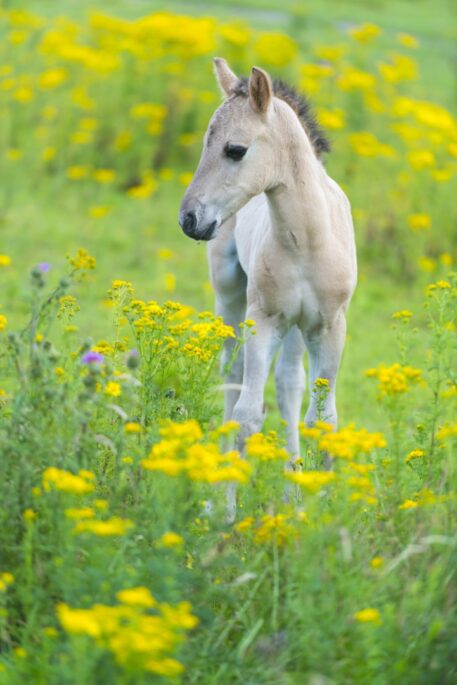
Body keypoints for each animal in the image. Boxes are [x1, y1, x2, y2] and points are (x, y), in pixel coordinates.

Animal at [178, 60, 356, 520]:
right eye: (205, 144)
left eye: (235, 150)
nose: (189, 219)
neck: (308, 241)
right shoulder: (263, 319)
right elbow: (246, 414)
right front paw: (227, 517)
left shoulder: (329, 327)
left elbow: (323, 421)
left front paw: (318, 514)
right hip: (231, 297)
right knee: (234, 377)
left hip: (298, 327)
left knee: (290, 385)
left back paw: (293, 494)